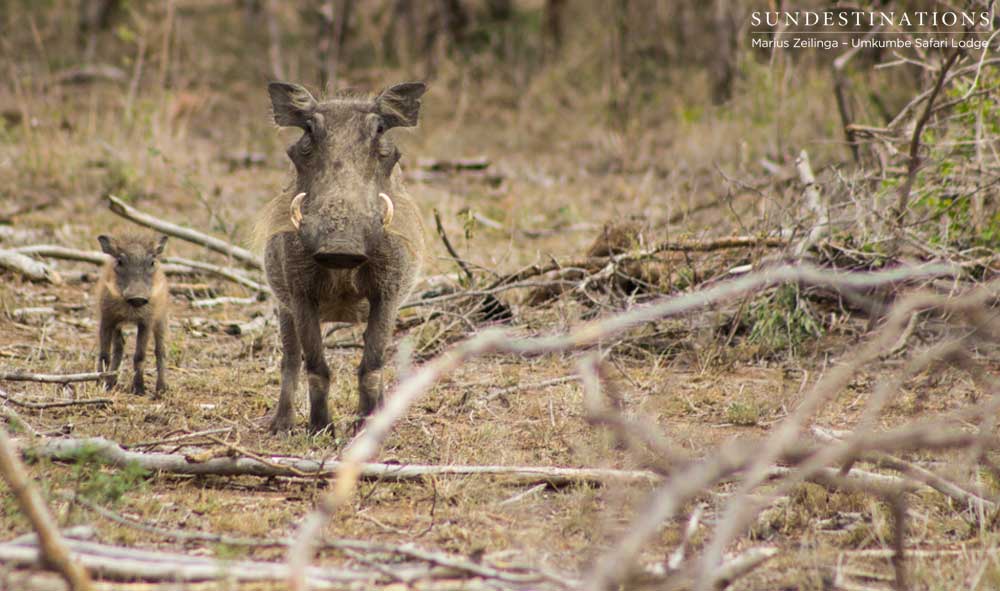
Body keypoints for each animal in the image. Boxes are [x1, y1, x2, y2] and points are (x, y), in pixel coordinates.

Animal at [95, 233, 169, 397]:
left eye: (152, 262)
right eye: (120, 261)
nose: (138, 298)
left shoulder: (146, 322)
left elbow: (140, 355)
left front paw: (139, 389)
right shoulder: (107, 319)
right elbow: (104, 354)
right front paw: (98, 384)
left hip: (161, 321)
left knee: (160, 351)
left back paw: (161, 389)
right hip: (117, 325)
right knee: (119, 347)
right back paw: (110, 383)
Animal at [255, 81, 427, 434]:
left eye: (379, 129)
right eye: (309, 131)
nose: (340, 246)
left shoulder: (387, 295)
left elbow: (372, 365)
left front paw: (368, 426)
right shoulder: (300, 295)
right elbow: (315, 366)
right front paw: (320, 429)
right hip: (283, 307)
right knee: (290, 359)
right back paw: (281, 425)